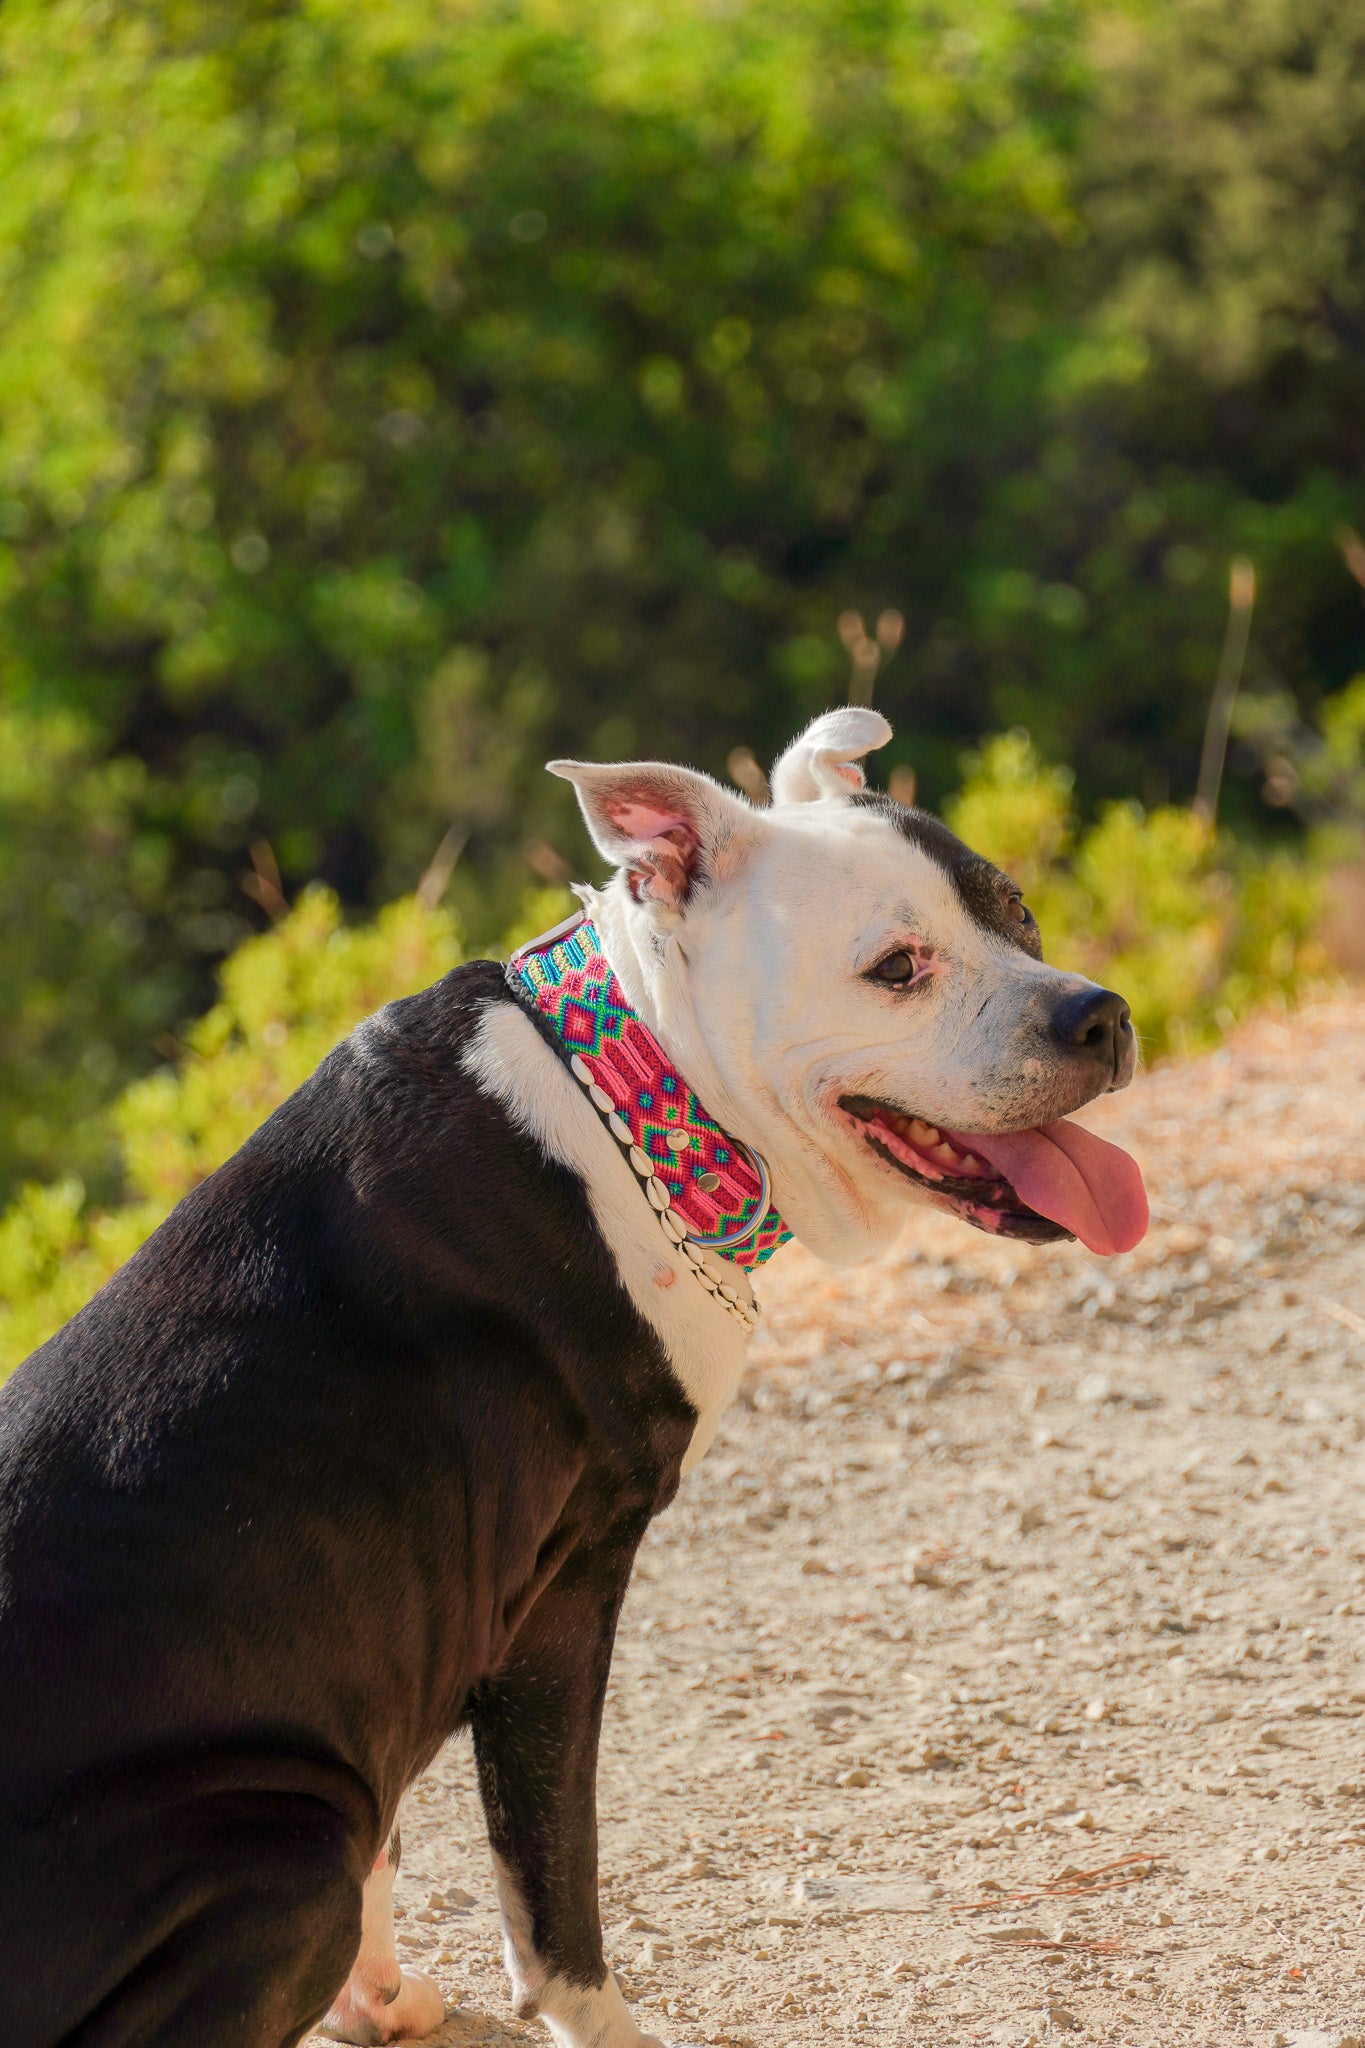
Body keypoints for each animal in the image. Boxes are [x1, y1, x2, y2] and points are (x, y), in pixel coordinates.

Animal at [0, 716, 1146, 2048]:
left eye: (1014, 906)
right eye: (896, 966)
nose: (1099, 1015)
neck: (630, 1098)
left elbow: (403, 1836)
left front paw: (378, 1995)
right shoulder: (555, 1605)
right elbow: (551, 1881)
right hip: (279, 1854)